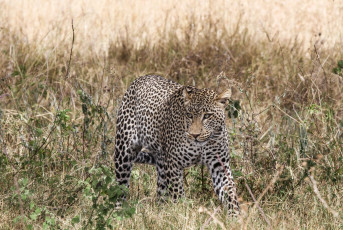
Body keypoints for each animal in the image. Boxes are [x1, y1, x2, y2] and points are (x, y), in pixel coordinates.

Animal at [114, 74, 241, 215]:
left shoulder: (220, 165)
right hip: (124, 152)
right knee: (121, 186)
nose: (194, 135)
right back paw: (119, 211)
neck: (201, 145)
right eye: (189, 115)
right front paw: (183, 212)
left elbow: (230, 192)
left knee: (161, 192)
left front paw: (235, 216)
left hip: (161, 164)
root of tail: (142, 78)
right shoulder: (173, 165)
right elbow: (177, 194)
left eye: (207, 116)